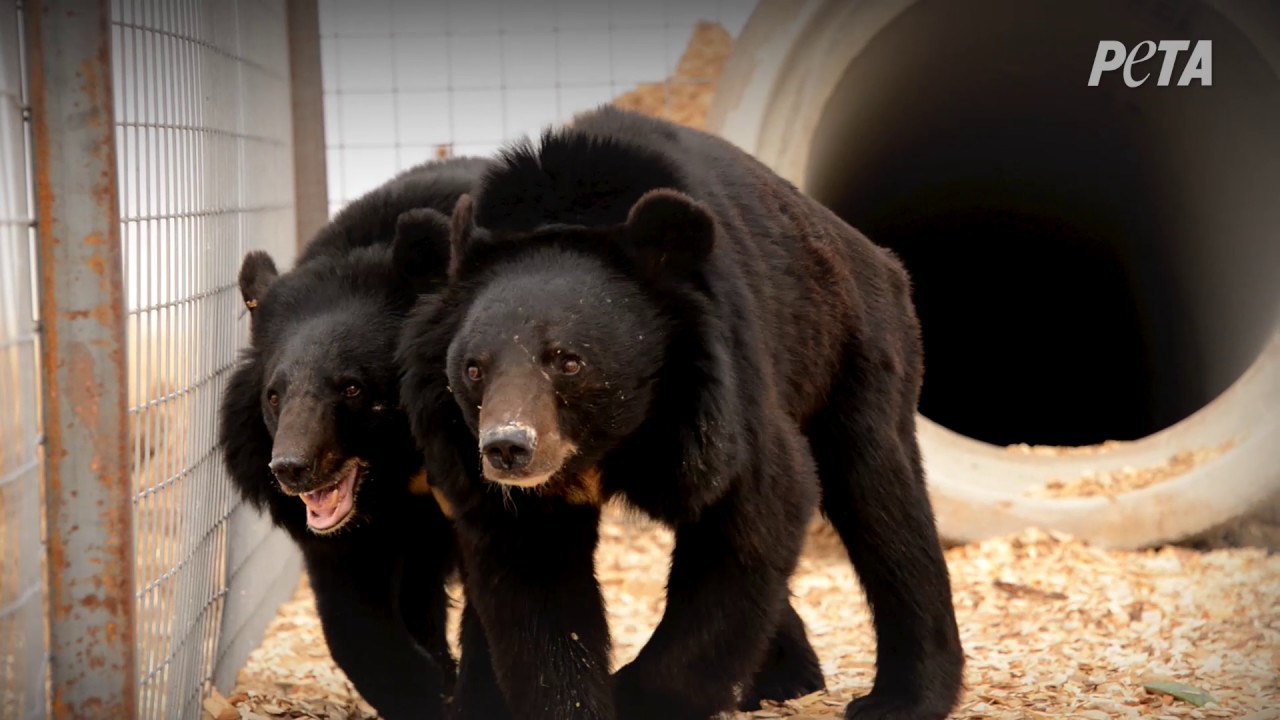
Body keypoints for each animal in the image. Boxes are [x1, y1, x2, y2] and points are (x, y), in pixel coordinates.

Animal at [217, 156, 490, 720]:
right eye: (274, 395)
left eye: (353, 387)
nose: (290, 468)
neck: (399, 466)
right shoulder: (343, 532)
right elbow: (352, 617)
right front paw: (424, 687)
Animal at [396, 105, 965, 720]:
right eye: (473, 369)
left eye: (568, 361)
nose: (507, 448)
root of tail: (876, 256)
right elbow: (538, 588)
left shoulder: (721, 392)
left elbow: (756, 513)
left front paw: (635, 693)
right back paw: (786, 679)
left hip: (855, 350)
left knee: (881, 500)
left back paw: (900, 698)